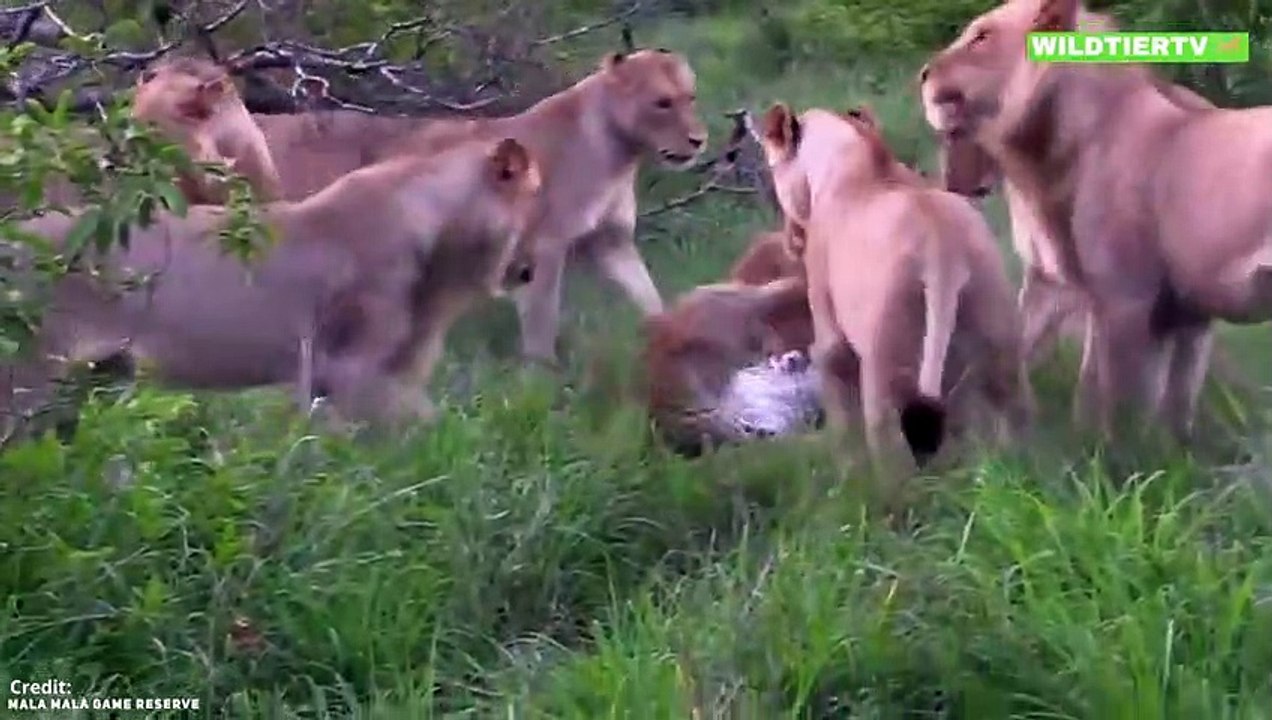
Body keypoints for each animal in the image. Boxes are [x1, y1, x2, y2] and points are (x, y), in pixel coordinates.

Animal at [250, 49, 709, 366]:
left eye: (691, 98)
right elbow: (543, 313)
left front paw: (674, 338)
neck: (619, 155)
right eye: (662, 103)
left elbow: (648, 295)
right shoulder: (545, 244)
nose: (699, 141)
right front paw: (541, 371)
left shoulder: (610, 242)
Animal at [756, 102, 1033, 475]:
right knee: (1014, 418)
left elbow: (841, 413)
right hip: (1002, 347)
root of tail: (942, 246)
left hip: (884, 366)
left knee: (891, 450)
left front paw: (846, 470)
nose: (791, 241)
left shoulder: (830, 338)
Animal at [919, 0, 1272, 440]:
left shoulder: (1125, 299)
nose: (923, 74)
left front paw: (1106, 452)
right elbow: (1172, 406)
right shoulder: (1179, 313)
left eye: (982, 37)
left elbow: (1111, 404)